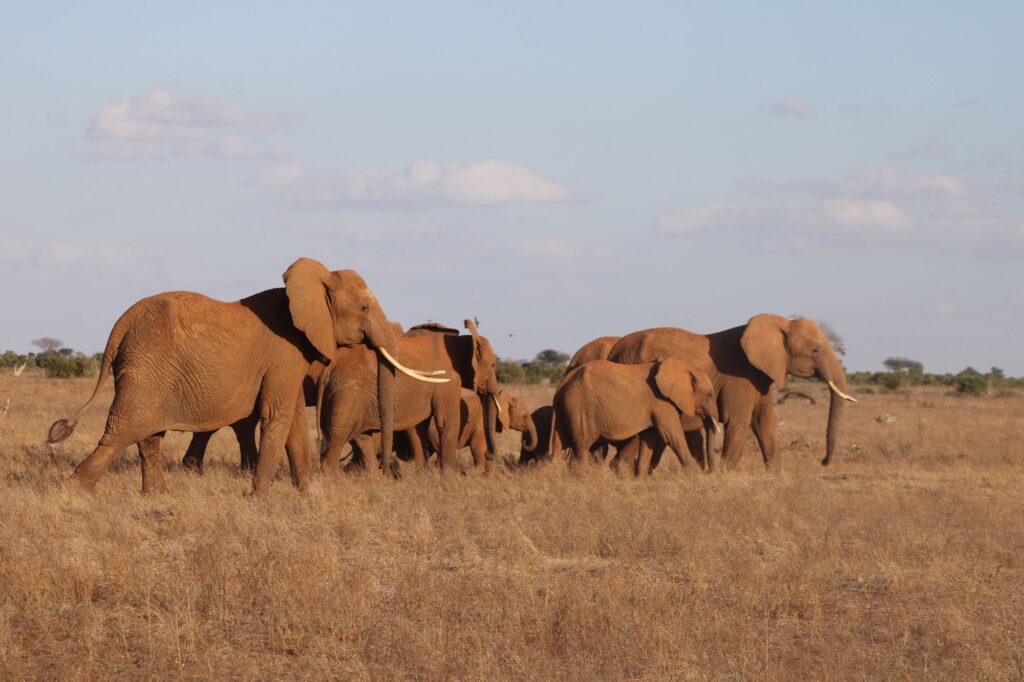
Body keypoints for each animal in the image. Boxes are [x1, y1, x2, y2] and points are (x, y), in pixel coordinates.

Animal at [47, 257, 446, 495]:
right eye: (364, 308)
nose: (389, 471)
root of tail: (119, 324)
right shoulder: (285, 352)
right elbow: (277, 417)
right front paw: (261, 496)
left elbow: (294, 421)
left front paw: (307, 494)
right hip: (147, 367)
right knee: (123, 431)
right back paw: (75, 493)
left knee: (148, 436)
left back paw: (155, 495)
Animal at [318, 319, 501, 474]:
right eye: (493, 365)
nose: (489, 454)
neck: (463, 342)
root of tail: (330, 367)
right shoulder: (448, 379)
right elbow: (447, 421)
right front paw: (449, 478)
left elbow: (418, 426)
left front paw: (420, 475)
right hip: (348, 393)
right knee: (338, 434)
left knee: (360, 437)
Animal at [550, 359, 719, 472]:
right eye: (709, 394)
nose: (708, 472)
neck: (685, 367)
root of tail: (562, 385)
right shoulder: (661, 402)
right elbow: (672, 437)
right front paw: (696, 476)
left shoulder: (654, 406)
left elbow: (649, 438)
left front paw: (641, 479)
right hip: (580, 408)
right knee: (583, 447)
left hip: (566, 410)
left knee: (558, 446)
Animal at [607, 315, 857, 472]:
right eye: (815, 350)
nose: (823, 462)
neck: (780, 323)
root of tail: (614, 350)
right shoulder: (740, 377)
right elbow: (739, 423)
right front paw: (725, 476)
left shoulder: (760, 375)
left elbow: (765, 421)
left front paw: (775, 475)